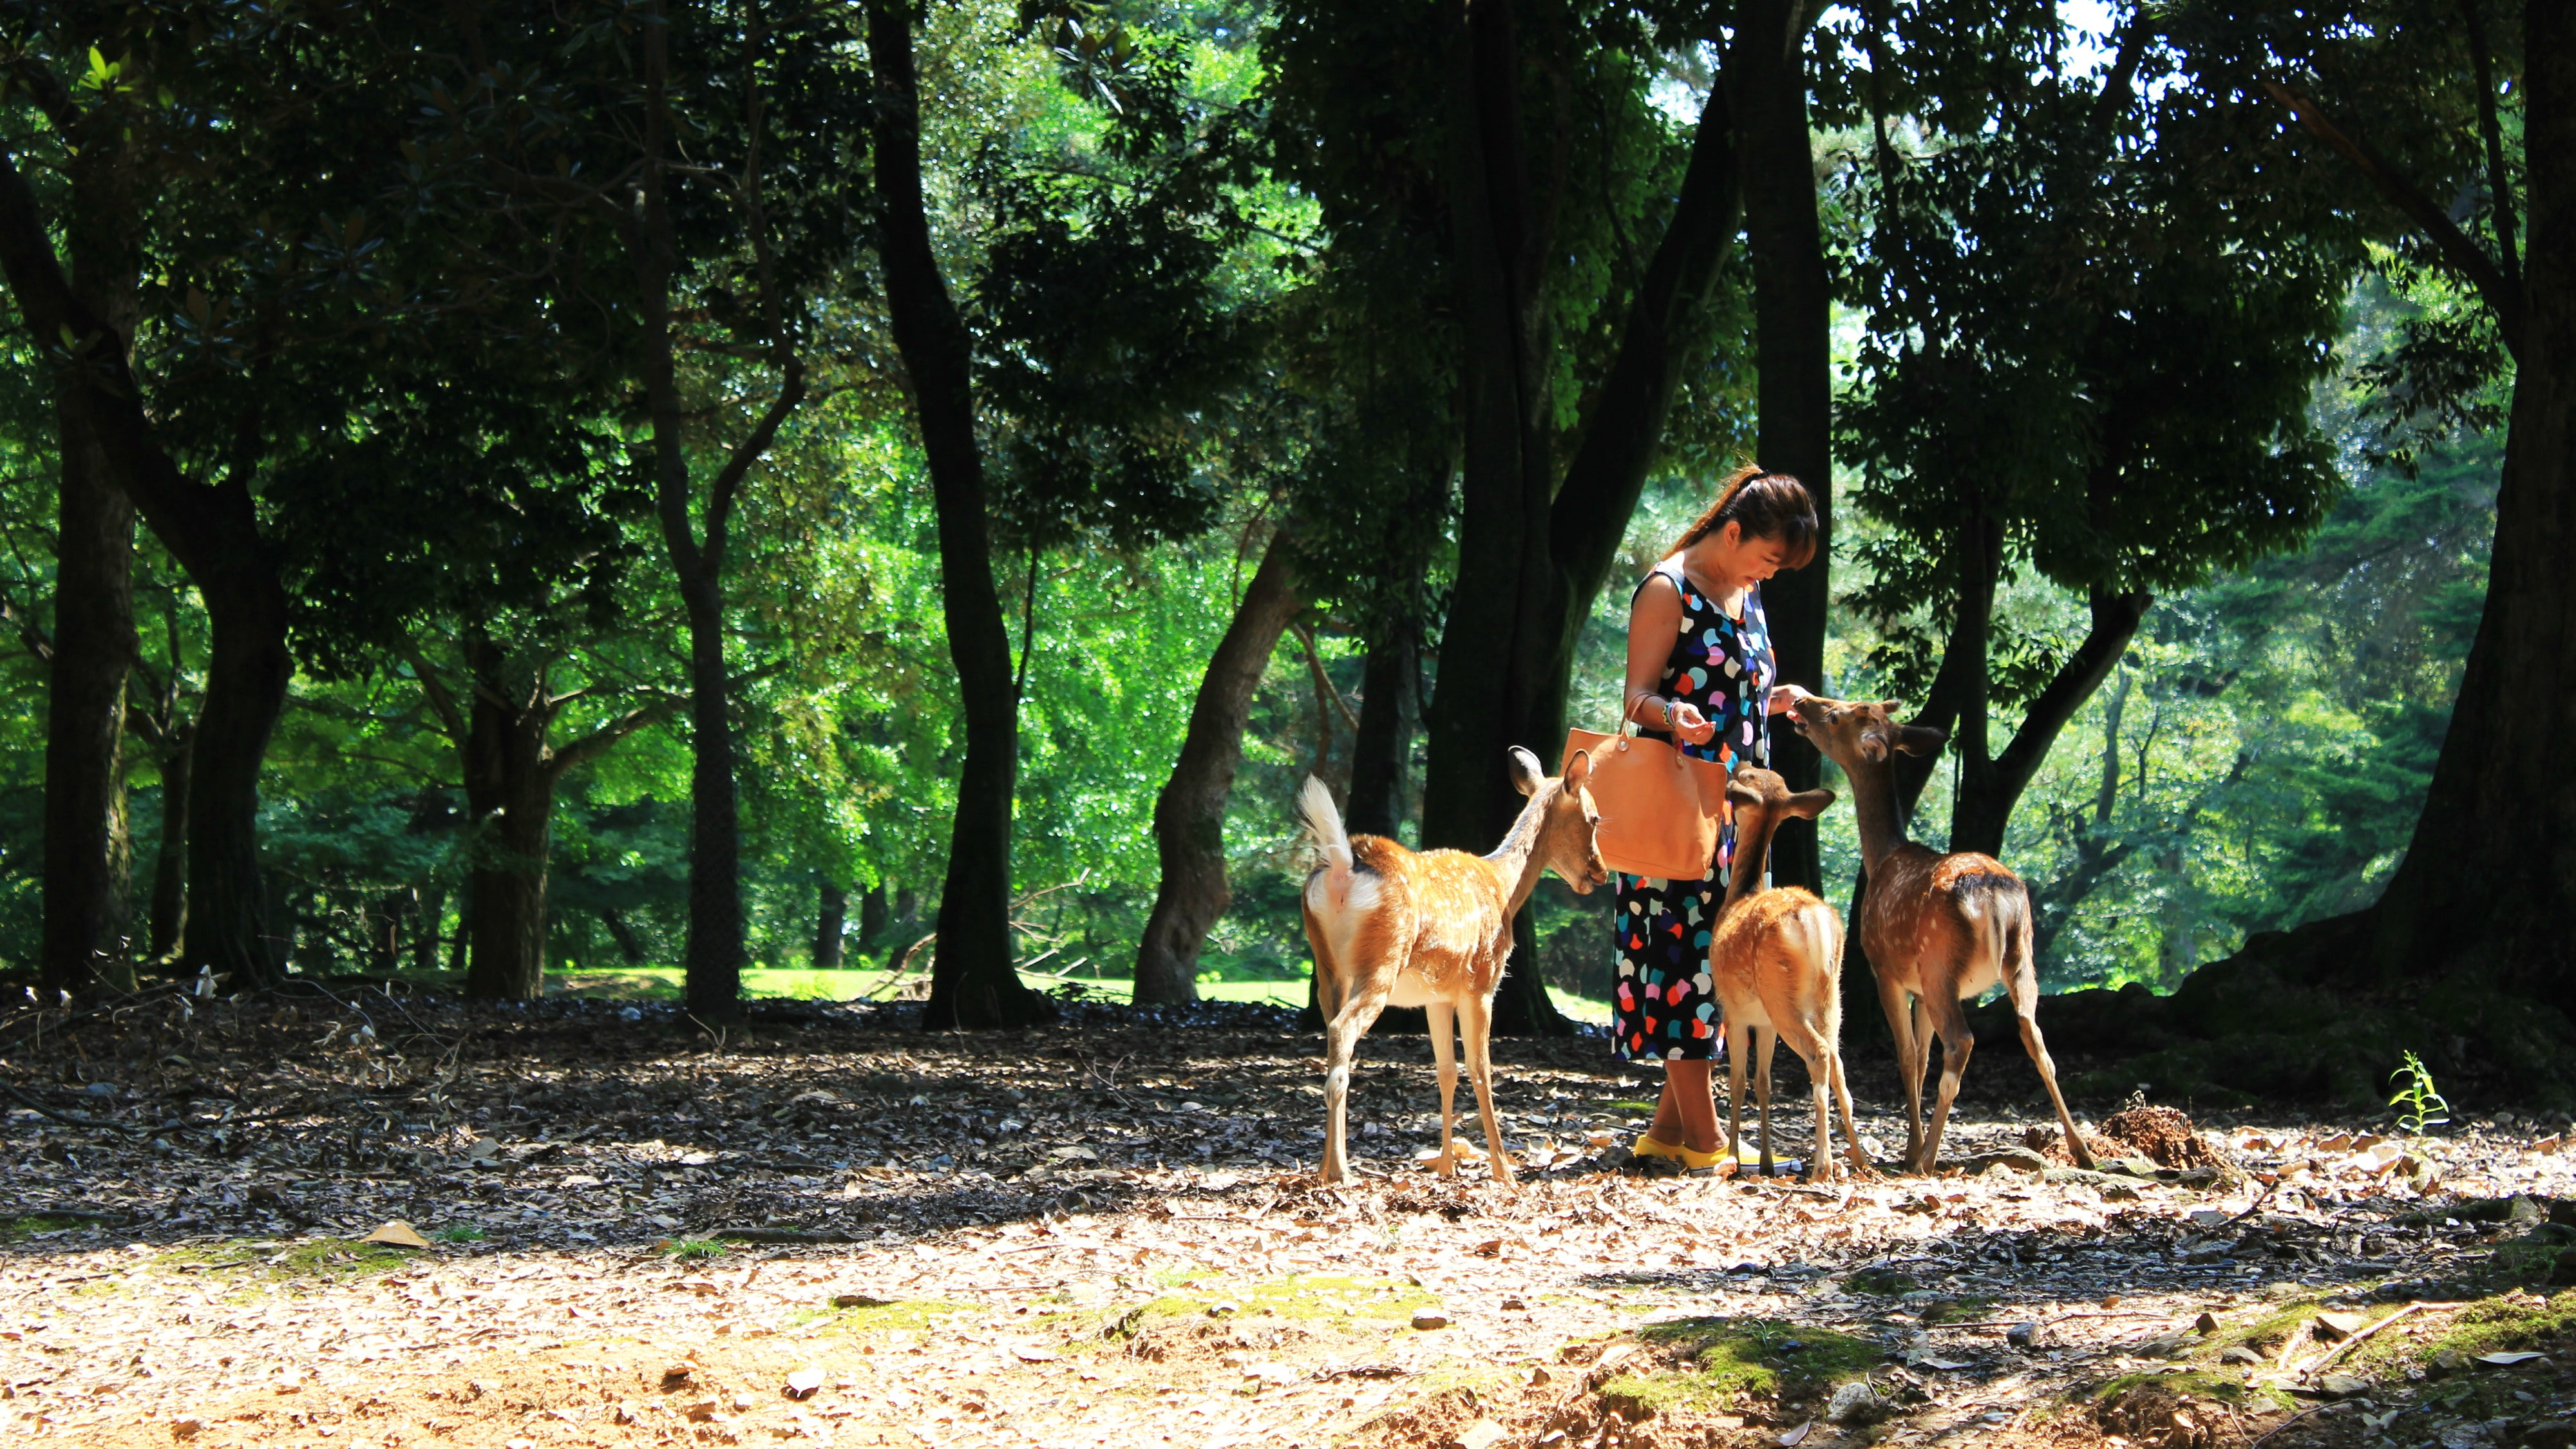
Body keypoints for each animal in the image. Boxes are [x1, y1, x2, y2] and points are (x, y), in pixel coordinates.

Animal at [1298, 747, 1605, 1186]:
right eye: (1595, 818)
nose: (1601, 872)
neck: (1505, 887)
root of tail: (1342, 866)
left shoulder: (1437, 996)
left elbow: (1446, 1072)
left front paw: (1446, 1168)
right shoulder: (1482, 983)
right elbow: (1482, 1070)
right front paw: (1504, 1172)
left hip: (1328, 969)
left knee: (1332, 1038)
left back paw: (1324, 1169)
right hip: (1383, 961)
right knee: (1343, 1033)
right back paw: (1341, 1172)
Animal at [1707, 765, 1871, 1183]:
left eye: (1748, 775)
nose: (1735, 765)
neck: (1739, 896)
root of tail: (1815, 923)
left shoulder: (1735, 1011)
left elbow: (1737, 1083)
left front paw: (1732, 1160)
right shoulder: (1763, 1021)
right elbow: (1764, 1083)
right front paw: (1765, 1162)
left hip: (1779, 994)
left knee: (1820, 1053)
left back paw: (1823, 1166)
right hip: (1830, 997)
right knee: (1839, 1064)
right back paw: (1861, 1162)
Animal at [1785, 695, 2096, 1174]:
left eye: (1836, 716)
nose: (1801, 701)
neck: (1882, 857)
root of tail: (1991, 892)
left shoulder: (1886, 971)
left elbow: (1908, 1056)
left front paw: (1910, 1149)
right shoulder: (1917, 986)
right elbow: (1923, 1053)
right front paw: (1911, 1144)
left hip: (1939, 961)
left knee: (1962, 1040)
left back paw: (1927, 1158)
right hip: (2021, 958)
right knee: (2037, 1039)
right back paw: (2082, 1150)